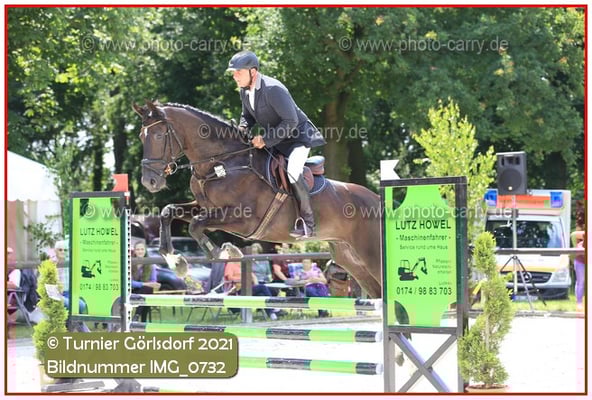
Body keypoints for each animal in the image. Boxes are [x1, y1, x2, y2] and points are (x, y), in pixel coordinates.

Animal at [133, 100, 382, 298]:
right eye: (141, 136)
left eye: (158, 135)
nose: (149, 181)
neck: (222, 163)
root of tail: (379, 201)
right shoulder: (204, 207)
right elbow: (169, 211)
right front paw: (175, 260)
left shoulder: (245, 219)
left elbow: (196, 225)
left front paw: (225, 252)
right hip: (350, 259)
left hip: (373, 257)